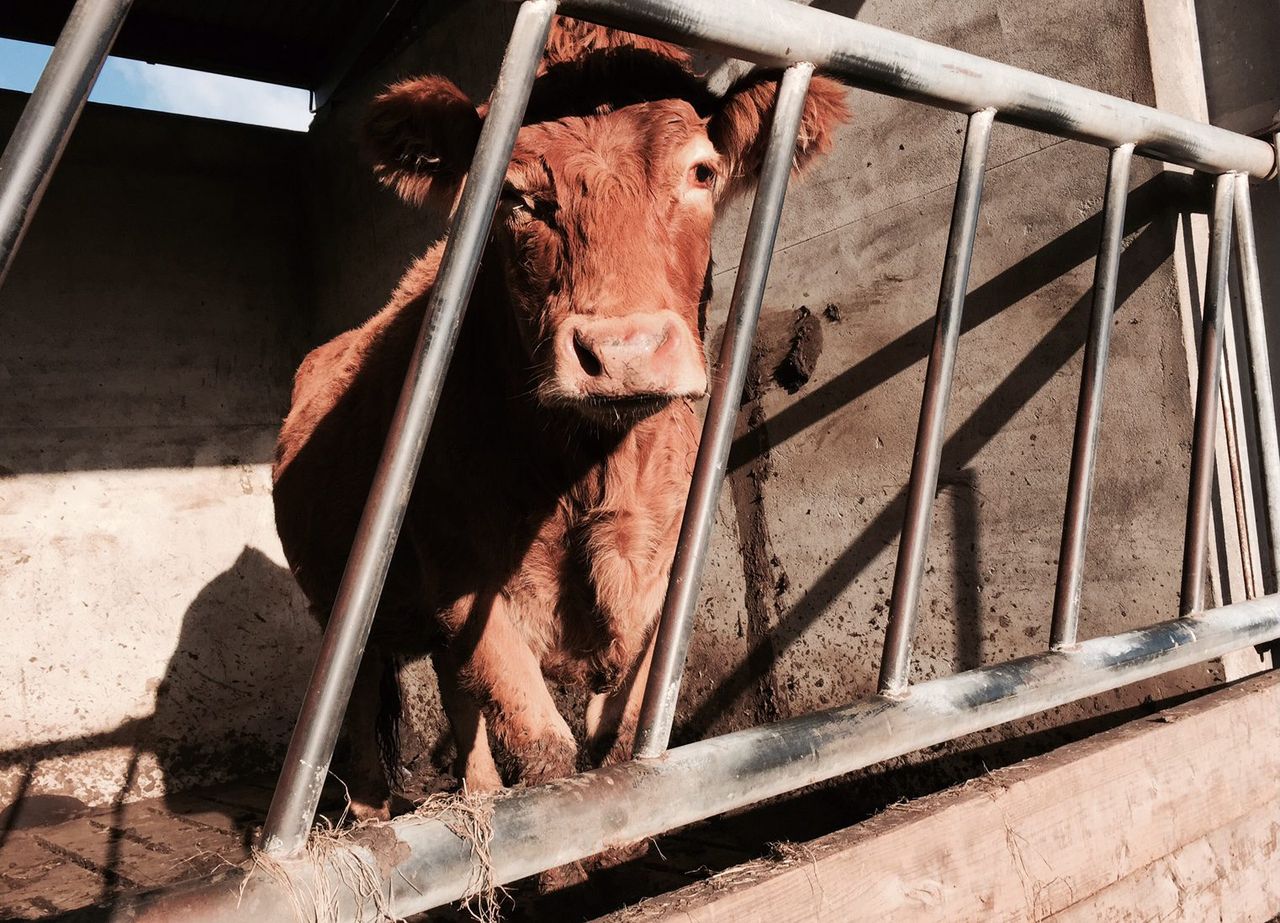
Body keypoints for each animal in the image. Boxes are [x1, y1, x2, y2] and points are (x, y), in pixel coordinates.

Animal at [273, 18, 848, 842]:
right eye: (516, 197)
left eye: (702, 173)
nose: (625, 352)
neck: (587, 466)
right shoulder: (465, 579)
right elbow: (545, 753)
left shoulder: (657, 576)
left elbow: (621, 740)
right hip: (337, 607)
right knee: (356, 707)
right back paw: (372, 815)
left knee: (456, 698)